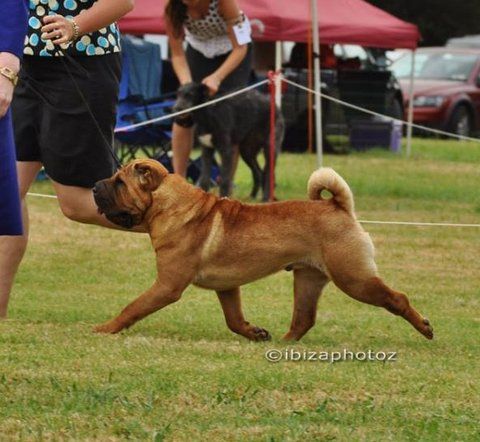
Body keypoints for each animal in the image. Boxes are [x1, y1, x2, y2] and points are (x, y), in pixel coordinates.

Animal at [92, 159, 433, 342]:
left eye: (120, 183)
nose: (94, 186)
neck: (169, 205)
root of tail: (337, 206)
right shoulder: (227, 287)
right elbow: (234, 319)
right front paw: (255, 333)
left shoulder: (167, 285)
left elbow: (133, 307)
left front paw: (106, 328)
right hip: (308, 279)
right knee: (303, 319)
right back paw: (282, 344)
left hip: (354, 278)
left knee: (397, 298)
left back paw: (425, 328)